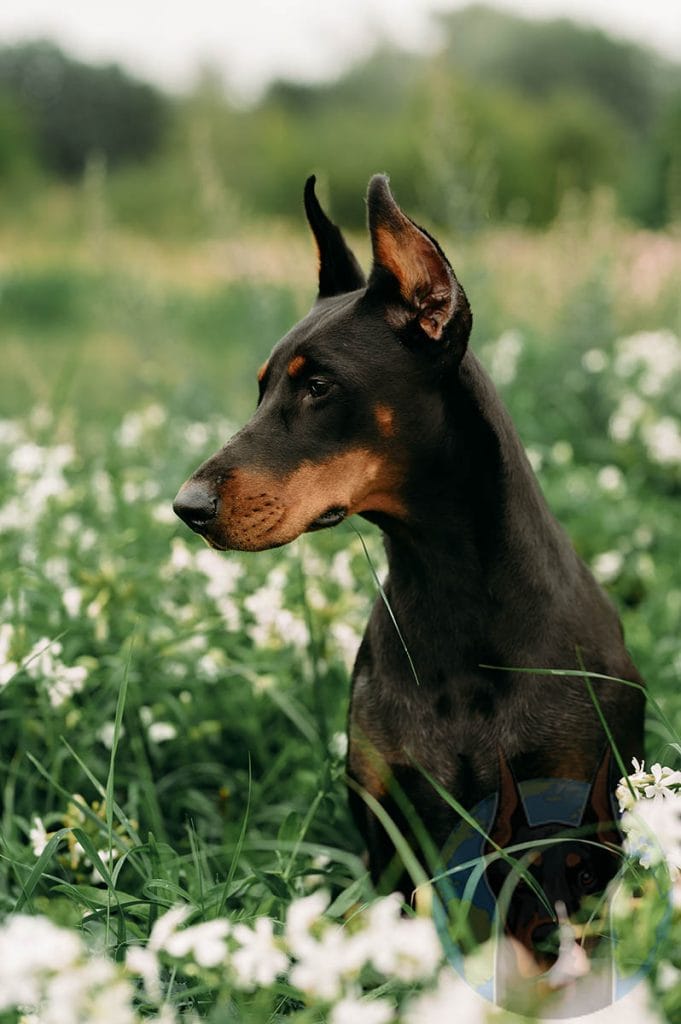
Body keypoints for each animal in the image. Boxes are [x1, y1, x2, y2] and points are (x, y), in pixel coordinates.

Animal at [174, 174, 643, 937]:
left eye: (318, 385)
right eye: (262, 387)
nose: (187, 507)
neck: (448, 590)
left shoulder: (572, 810)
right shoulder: (390, 833)